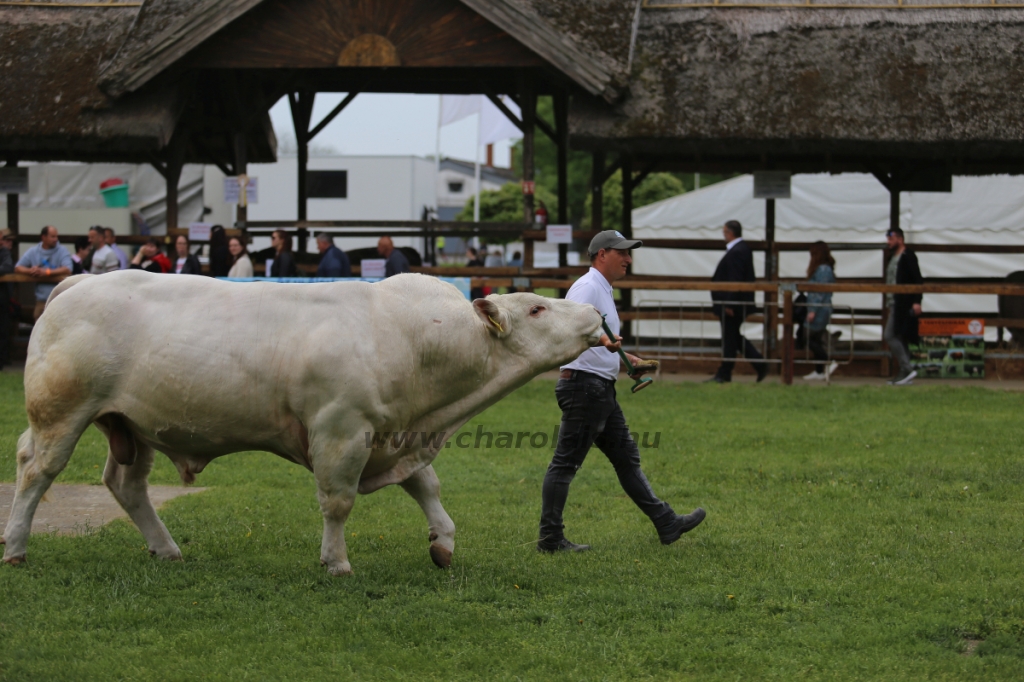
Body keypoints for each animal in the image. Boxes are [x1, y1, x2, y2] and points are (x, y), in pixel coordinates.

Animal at [0, 270, 602, 573]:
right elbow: (337, 502)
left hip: (131, 424)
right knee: (35, 470)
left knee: (127, 485)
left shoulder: (395, 434)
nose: (596, 313)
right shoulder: (342, 429)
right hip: (61, 412)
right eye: (537, 309)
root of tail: (79, 280)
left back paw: (166, 549)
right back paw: (16, 547)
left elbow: (426, 486)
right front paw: (336, 562)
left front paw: (443, 541)